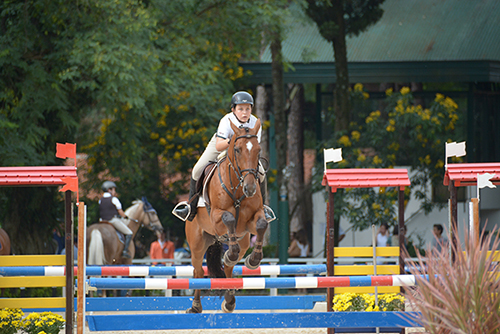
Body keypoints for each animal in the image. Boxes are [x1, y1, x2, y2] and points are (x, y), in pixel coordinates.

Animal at [185, 119, 270, 314]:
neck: (237, 186)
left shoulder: (250, 221)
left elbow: (261, 224)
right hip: (197, 243)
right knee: (198, 272)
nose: (250, 189)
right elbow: (229, 219)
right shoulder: (217, 218)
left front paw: (253, 260)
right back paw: (195, 306)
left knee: (229, 268)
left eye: (258, 150)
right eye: (237, 149)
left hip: (243, 241)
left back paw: (229, 300)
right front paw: (233, 254)